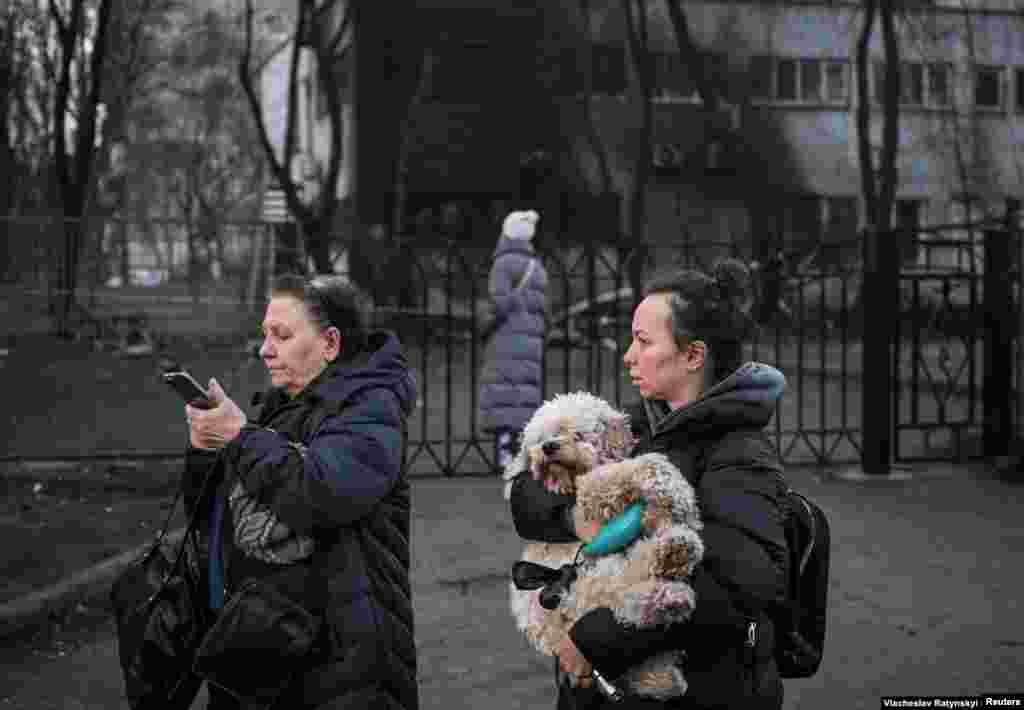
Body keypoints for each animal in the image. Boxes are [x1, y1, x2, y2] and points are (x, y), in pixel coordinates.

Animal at [503, 393, 704, 696]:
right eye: (542, 437)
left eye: (578, 434)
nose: (549, 447)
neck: (572, 479)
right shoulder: (589, 490)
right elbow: (627, 470)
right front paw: (672, 488)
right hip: (594, 581)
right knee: (633, 590)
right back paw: (672, 574)